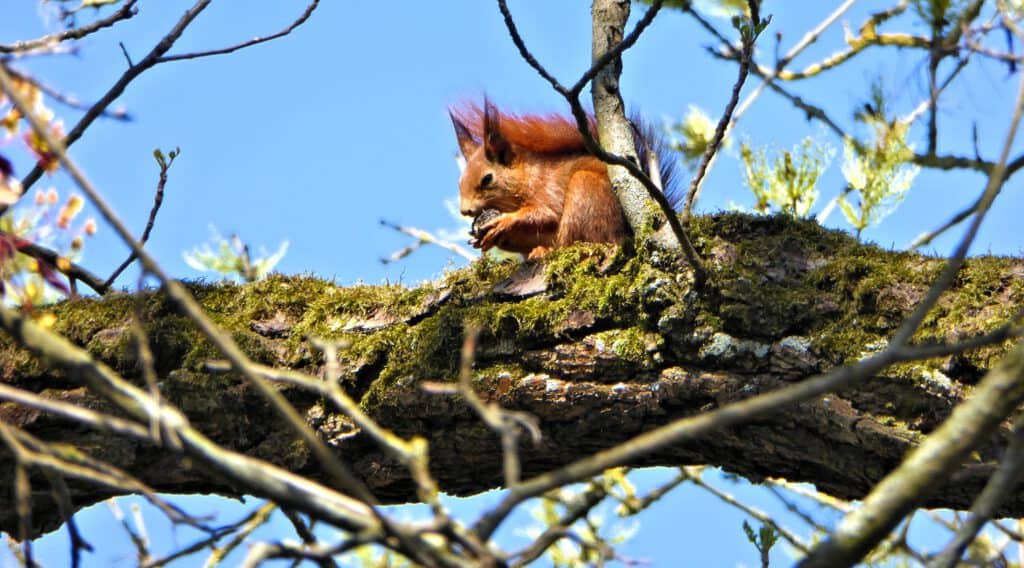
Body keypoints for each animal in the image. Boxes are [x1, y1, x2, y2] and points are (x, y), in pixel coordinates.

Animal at [450, 101, 679, 260]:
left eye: (487, 179)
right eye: (459, 182)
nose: (465, 211)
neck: (527, 178)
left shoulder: (549, 188)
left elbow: (546, 214)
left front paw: (504, 221)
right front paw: (481, 236)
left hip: (585, 191)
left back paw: (546, 250)